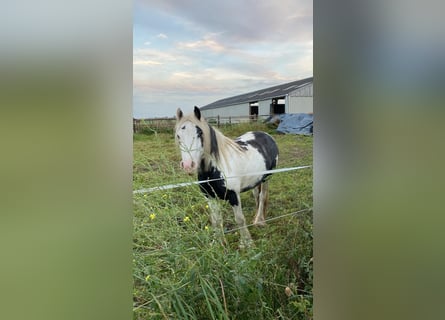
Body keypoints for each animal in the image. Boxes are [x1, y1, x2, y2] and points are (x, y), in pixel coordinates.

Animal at [173, 105, 278, 248]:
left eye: (200, 134)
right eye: (178, 136)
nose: (189, 165)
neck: (215, 169)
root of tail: (266, 135)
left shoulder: (234, 196)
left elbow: (240, 219)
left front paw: (247, 244)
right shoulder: (210, 197)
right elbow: (216, 221)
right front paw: (218, 243)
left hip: (267, 178)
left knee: (262, 197)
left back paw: (260, 221)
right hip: (256, 180)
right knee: (257, 195)